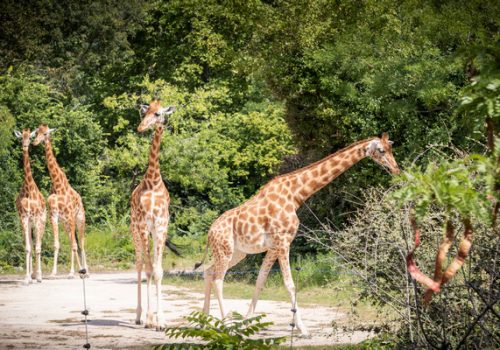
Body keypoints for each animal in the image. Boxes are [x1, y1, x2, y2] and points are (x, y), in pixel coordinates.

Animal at [32, 124, 87, 278]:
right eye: (36, 133)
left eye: (45, 134)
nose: (35, 142)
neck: (57, 186)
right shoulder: (54, 216)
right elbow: (57, 244)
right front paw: (53, 272)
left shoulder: (70, 215)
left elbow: (75, 245)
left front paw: (75, 272)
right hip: (66, 223)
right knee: (73, 241)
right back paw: (77, 270)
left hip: (79, 219)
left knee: (81, 243)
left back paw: (85, 270)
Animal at [194, 133, 398, 334]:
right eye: (381, 150)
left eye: (391, 148)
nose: (396, 169)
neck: (295, 195)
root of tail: (210, 233)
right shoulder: (283, 242)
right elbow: (290, 284)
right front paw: (302, 328)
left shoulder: (273, 247)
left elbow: (260, 281)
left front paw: (246, 322)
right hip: (225, 250)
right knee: (218, 279)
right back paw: (226, 325)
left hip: (237, 252)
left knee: (208, 272)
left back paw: (204, 321)